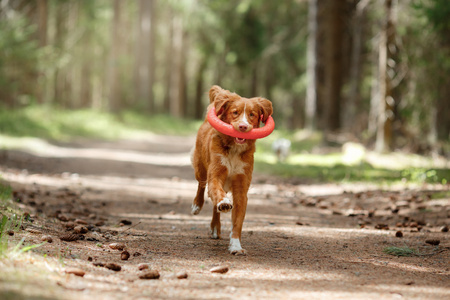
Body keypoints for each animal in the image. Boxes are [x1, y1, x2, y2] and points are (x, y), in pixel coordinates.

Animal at [191, 85, 272, 255]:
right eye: (235, 112)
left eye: (252, 114)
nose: (243, 126)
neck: (235, 149)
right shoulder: (215, 176)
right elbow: (217, 192)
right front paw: (223, 202)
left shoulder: (241, 187)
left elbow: (238, 221)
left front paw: (236, 246)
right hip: (200, 169)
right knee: (201, 185)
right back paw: (197, 205)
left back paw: (216, 227)